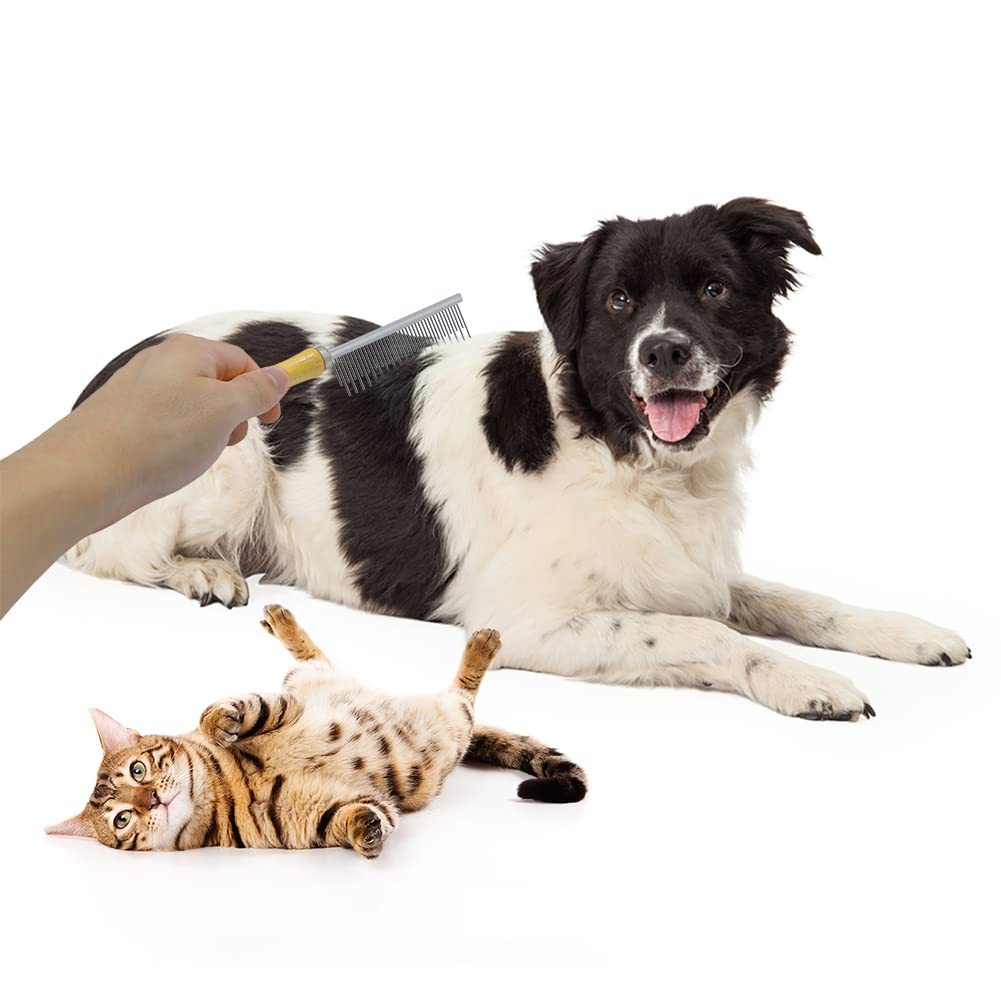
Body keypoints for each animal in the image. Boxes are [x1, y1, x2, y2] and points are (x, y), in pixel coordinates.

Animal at [45, 604, 584, 856]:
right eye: (122, 819)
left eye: (139, 770)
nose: (153, 799)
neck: (223, 791)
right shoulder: (306, 820)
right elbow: (350, 817)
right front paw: (368, 831)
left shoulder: (286, 704)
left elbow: (243, 708)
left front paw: (218, 722)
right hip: (450, 729)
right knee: (462, 695)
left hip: (336, 686)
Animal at [64, 197, 968, 720]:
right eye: (618, 301)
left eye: (713, 288)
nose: (664, 352)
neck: (618, 447)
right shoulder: (531, 620)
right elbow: (704, 632)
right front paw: (800, 680)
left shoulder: (694, 566)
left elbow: (799, 601)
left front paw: (910, 632)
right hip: (229, 457)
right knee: (107, 548)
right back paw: (201, 570)